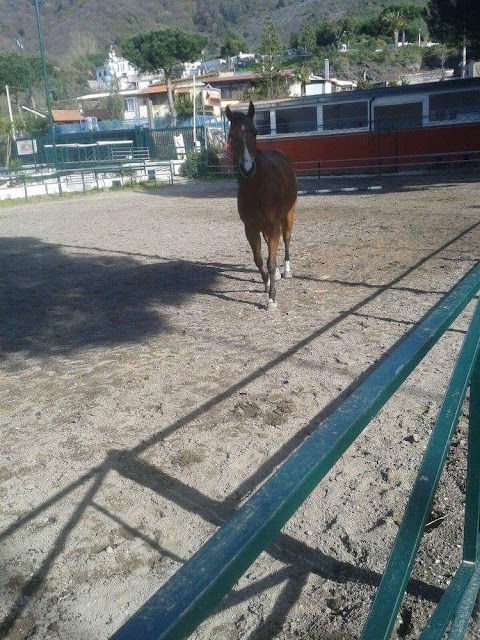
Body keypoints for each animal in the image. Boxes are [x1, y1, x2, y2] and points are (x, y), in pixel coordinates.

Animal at [226, 100, 296, 310]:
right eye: (231, 136)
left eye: (254, 132)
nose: (247, 168)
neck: (257, 188)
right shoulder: (250, 228)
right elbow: (258, 260)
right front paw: (267, 284)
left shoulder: (273, 226)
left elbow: (271, 261)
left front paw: (272, 298)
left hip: (288, 215)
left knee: (287, 239)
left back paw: (286, 270)